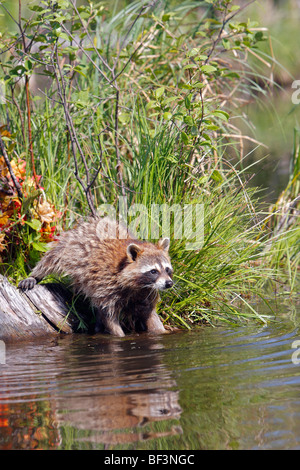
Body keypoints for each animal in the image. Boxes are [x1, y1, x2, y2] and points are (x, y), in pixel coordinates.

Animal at [18, 218, 173, 336]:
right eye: (153, 271)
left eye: (167, 269)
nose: (169, 283)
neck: (139, 285)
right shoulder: (106, 284)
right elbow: (109, 315)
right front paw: (119, 335)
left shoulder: (146, 293)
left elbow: (149, 315)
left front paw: (161, 332)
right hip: (67, 246)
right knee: (50, 259)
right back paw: (36, 275)